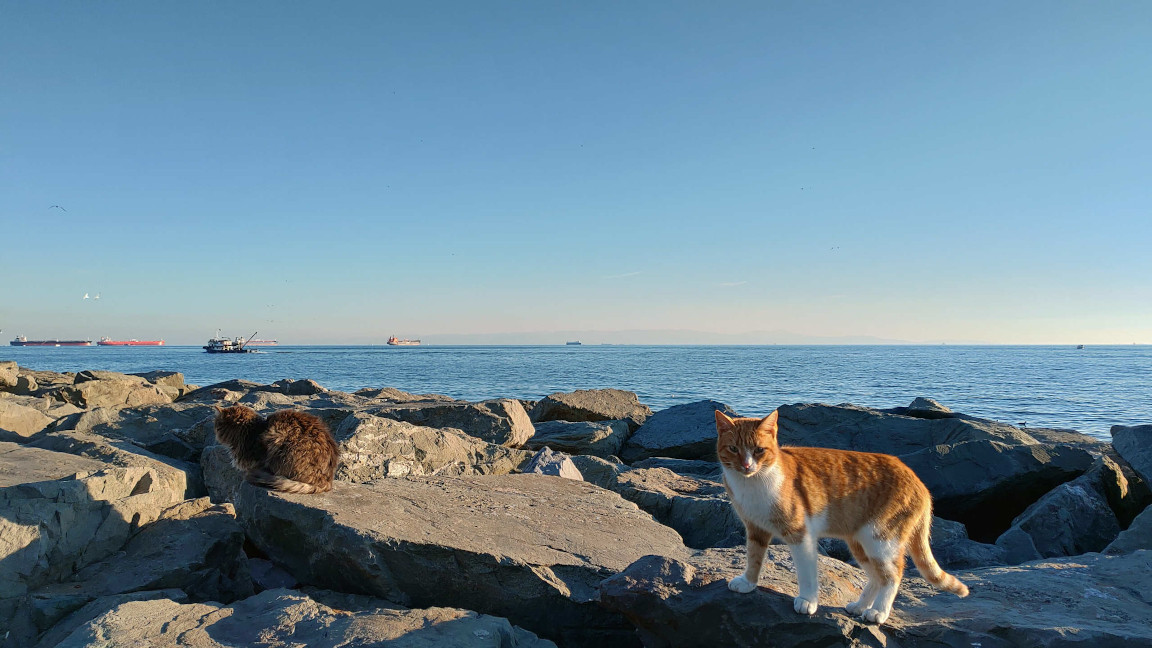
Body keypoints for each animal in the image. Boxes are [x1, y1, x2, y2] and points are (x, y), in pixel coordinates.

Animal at [714, 405, 967, 622]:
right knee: (877, 576)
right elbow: (754, 556)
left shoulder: (801, 534)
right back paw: (860, 606)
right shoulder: (755, 528)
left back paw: (878, 612)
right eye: (734, 449)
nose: (747, 466)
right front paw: (748, 582)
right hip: (860, 543)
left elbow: (806, 572)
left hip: (881, 539)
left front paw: (807, 601)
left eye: (759, 450)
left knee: (893, 575)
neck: (753, 483)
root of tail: (917, 480)